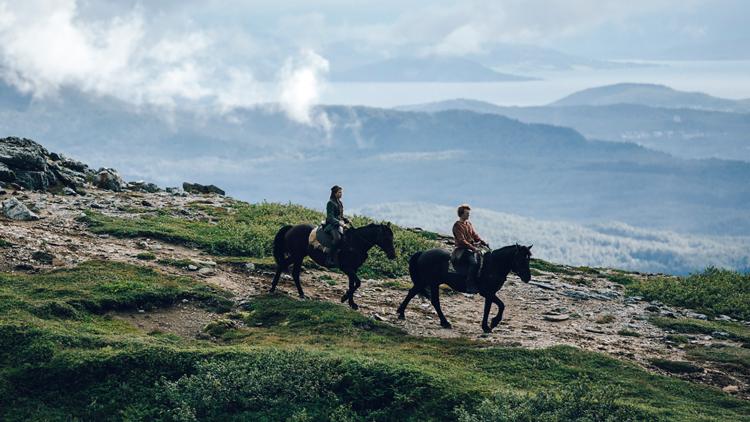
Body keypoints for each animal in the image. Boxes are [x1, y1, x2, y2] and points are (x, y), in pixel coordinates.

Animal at [270, 223, 400, 308]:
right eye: (386, 238)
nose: (392, 255)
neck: (356, 243)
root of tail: (292, 228)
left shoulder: (353, 269)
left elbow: (352, 284)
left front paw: (352, 303)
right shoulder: (347, 268)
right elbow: (357, 283)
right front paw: (344, 298)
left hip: (299, 256)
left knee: (292, 272)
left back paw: (300, 294)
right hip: (297, 255)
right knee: (285, 267)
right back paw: (272, 289)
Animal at [400, 244, 536, 332]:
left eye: (529, 259)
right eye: (520, 258)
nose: (527, 277)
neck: (492, 266)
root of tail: (422, 253)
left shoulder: (490, 294)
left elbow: (492, 308)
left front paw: (488, 325)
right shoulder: (487, 293)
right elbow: (500, 306)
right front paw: (491, 324)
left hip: (433, 283)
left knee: (433, 301)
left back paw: (444, 322)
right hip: (426, 281)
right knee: (413, 293)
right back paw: (401, 314)